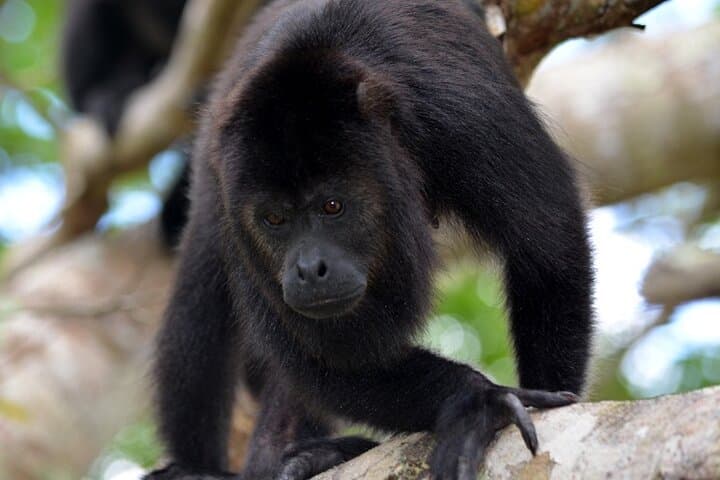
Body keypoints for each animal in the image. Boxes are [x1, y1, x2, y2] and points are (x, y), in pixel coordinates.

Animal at [145, 0, 594, 479]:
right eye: (274, 219)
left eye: (332, 206)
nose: (309, 268)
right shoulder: (225, 183)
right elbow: (322, 356)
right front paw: (477, 400)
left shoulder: (466, 119)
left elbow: (549, 246)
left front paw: (545, 398)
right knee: (199, 296)